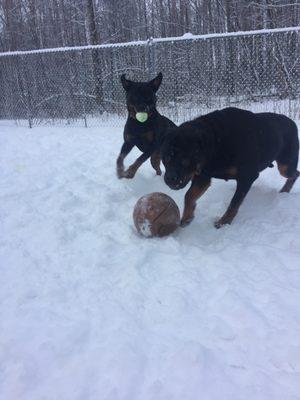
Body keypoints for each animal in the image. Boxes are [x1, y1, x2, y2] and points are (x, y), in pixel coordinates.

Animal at [161, 107, 298, 228]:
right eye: (165, 159)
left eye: (184, 160)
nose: (169, 179)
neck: (216, 144)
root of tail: (292, 122)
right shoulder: (203, 175)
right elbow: (189, 195)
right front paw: (187, 218)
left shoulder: (247, 176)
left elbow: (234, 202)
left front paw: (224, 222)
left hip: (285, 165)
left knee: (295, 173)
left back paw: (285, 191)